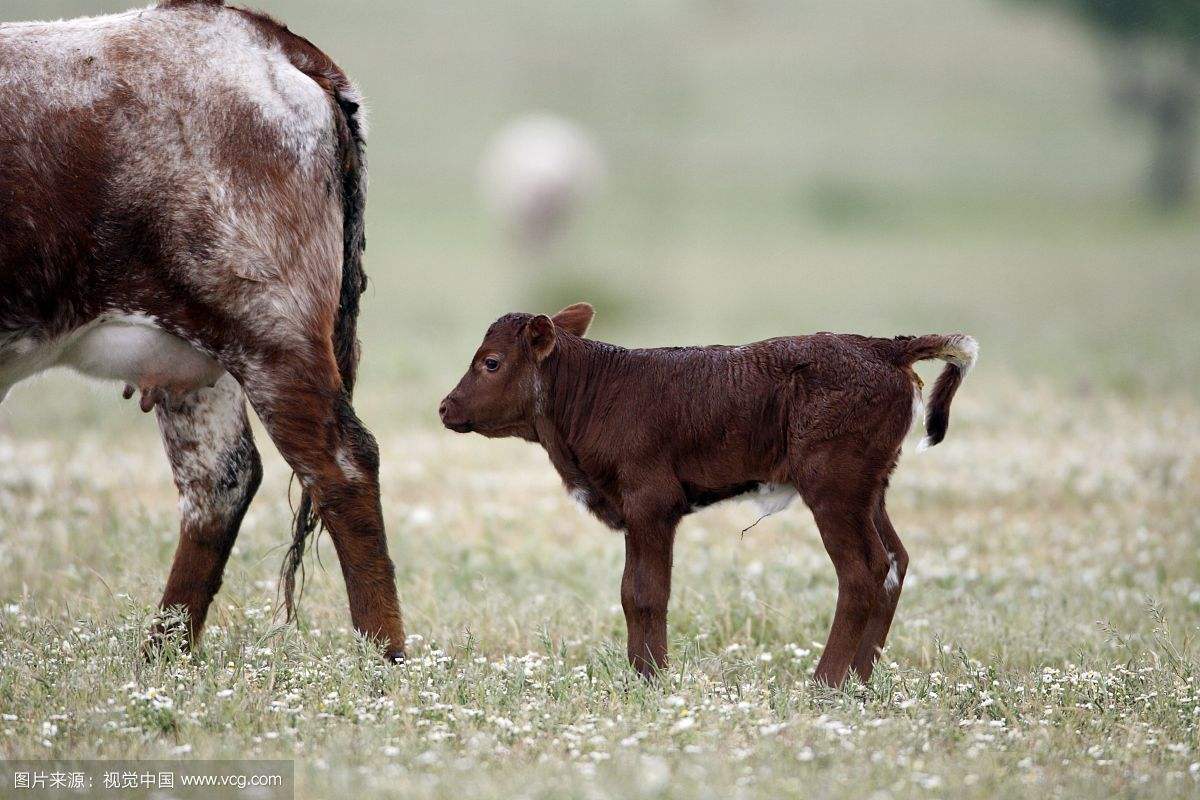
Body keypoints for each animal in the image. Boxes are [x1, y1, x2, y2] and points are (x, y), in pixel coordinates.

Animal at [0, 0, 408, 662]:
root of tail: (267, 38)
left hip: (271, 332)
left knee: (342, 465)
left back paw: (384, 658)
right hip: (196, 360)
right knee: (221, 481)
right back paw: (161, 660)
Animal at [441, 303, 974, 686]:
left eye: (491, 362)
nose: (445, 407)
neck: (593, 396)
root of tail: (886, 349)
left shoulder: (650, 501)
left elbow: (645, 592)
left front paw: (651, 679)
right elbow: (632, 590)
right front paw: (641, 676)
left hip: (834, 485)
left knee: (864, 571)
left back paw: (825, 684)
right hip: (870, 488)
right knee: (896, 560)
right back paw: (859, 682)